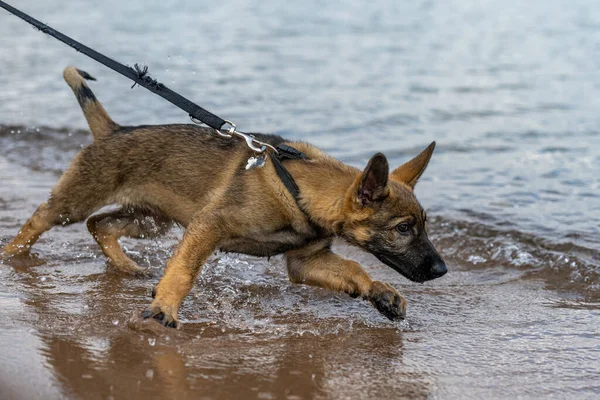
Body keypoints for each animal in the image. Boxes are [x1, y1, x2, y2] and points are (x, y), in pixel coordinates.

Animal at [2, 66, 446, 328]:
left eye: (423, 225)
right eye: (404, 228)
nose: (442, 270)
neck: (298, 188)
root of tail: (113, 130)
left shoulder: (306, 262)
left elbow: (353, 270)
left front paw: (381, 293)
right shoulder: (209, 226)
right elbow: (184, 271)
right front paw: (164, 309)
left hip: (152, 219)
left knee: (101, 225)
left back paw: (127, 267)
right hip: (75, 203)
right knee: (42, 219)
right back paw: (11, 255)